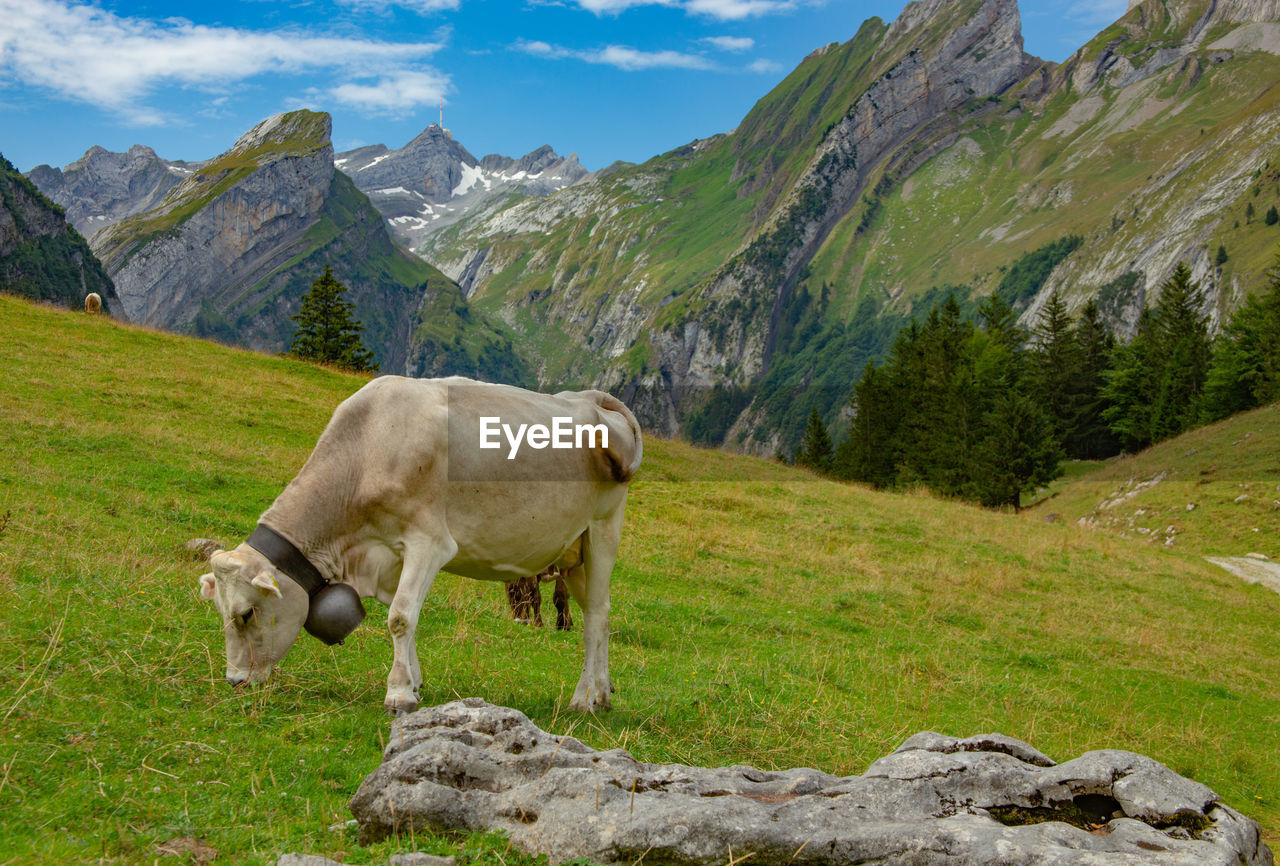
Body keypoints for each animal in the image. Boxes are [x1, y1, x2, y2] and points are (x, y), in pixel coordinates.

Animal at [197, 376, 640, 711]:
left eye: (246, 614)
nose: (235, 680)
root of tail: (589, 399)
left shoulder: (430, 543)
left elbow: (399, 617)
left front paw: (398, 694)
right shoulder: (390, 555)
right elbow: (404, 616)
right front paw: (414, 682)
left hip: (603, 530)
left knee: (596, 616)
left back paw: (582, 699)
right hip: (574, 554)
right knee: (597, 613)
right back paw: (603, 693)